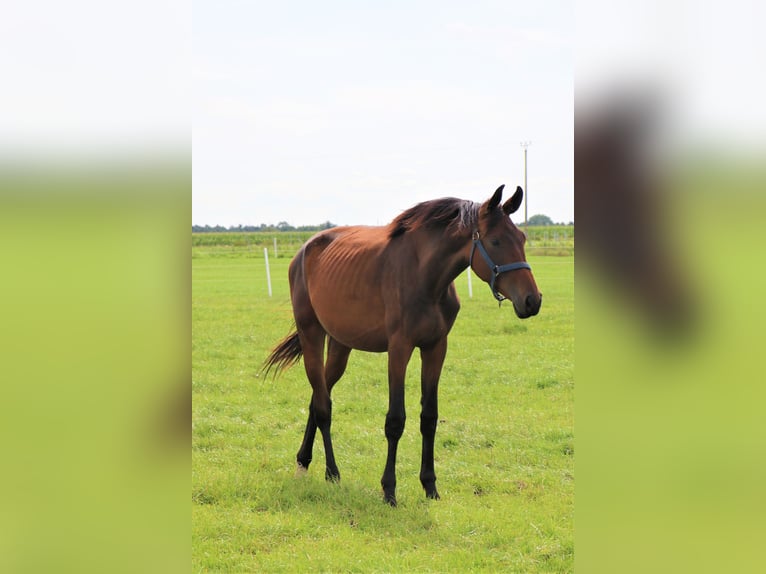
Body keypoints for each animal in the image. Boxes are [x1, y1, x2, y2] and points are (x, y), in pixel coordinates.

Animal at [268, 186, 544, 508]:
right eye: (496, 240)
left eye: (522, 238)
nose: (532, 300)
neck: (425, 278)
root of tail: (304, 251)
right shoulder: (399, 350)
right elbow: (395, 420)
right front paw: (389, 490)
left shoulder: (436, 348)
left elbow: (429, 417)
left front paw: (430, 486)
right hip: (312, 334)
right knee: (323, 406)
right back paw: (331, 472)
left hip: (340, 346)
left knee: (317, 397)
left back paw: (303, 461)